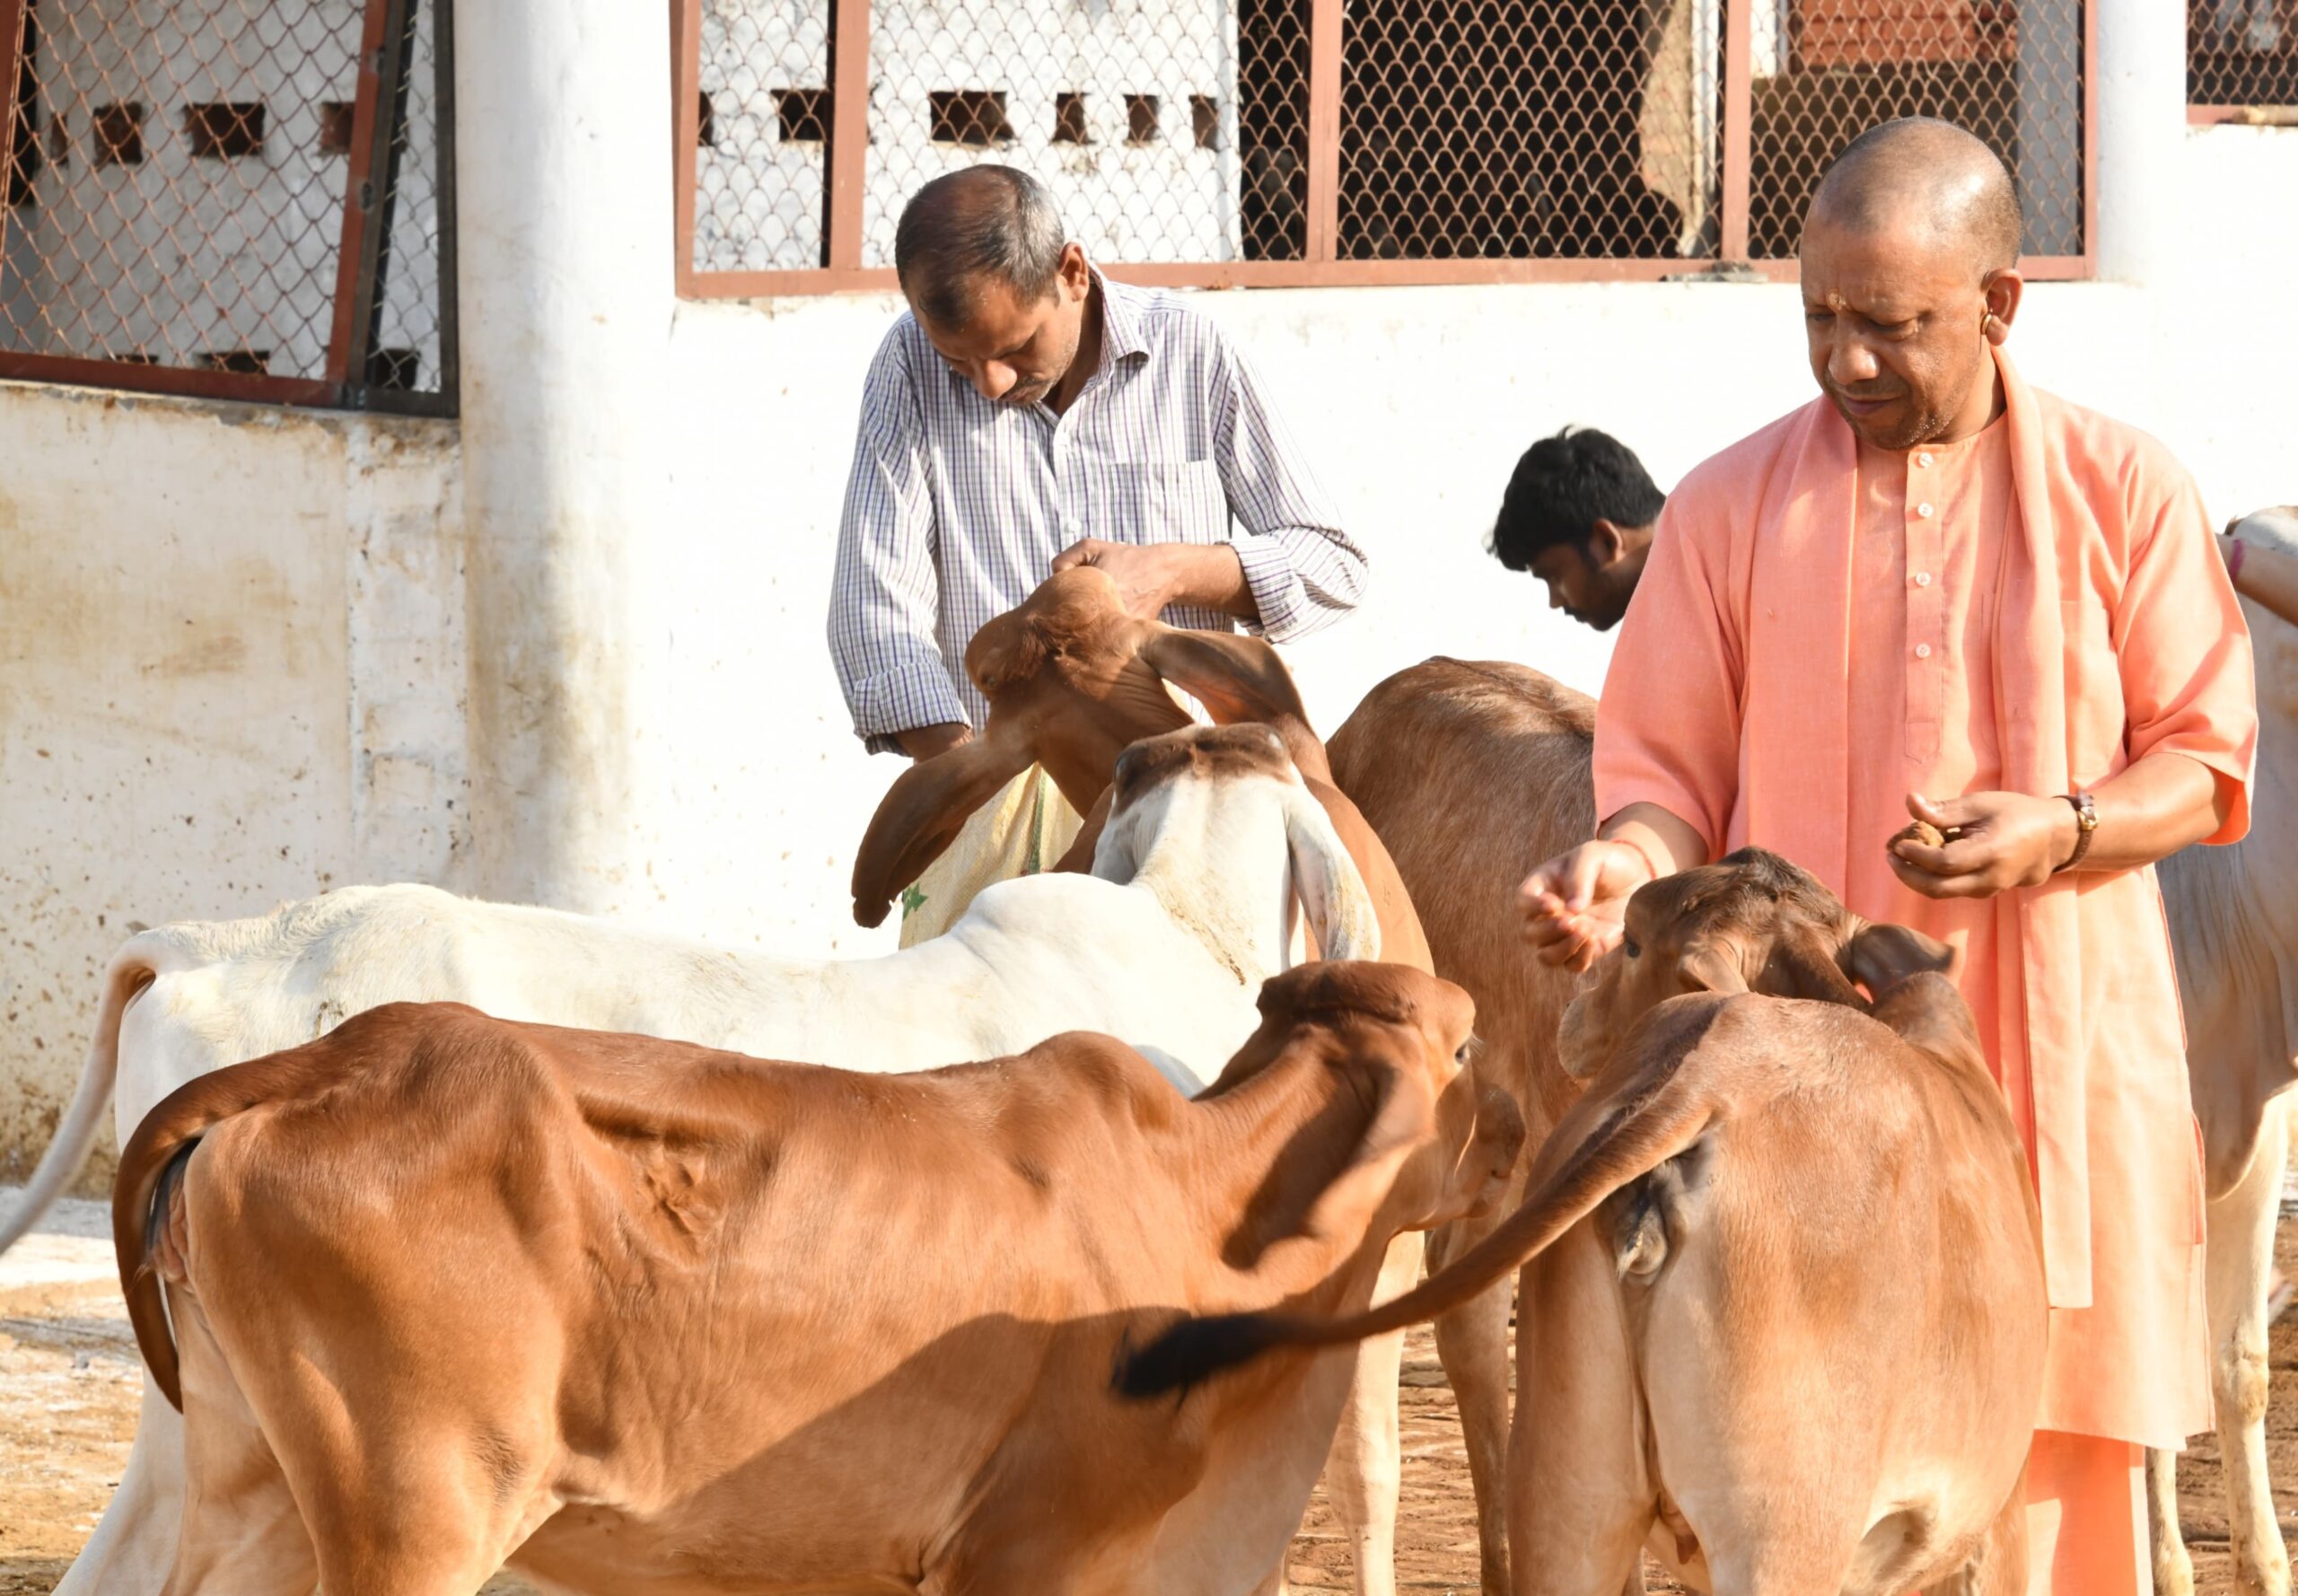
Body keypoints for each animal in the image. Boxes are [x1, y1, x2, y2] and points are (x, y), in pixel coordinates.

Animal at [111, 960, 1525, 1596]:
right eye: (1467, 1043)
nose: (1517, 1126)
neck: (1200, 1202)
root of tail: (336, 1054)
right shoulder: (1021, 1551)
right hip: (419, 1517)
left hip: (257, 1494)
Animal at [1130, 854, 2049, 1596]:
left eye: (1633, 945)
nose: (1575, 1002)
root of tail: (1705, 1078)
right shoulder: (1996, 1522)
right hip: (1781, 1531)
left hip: (1572, 1496)